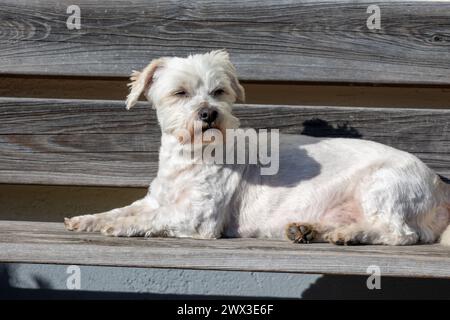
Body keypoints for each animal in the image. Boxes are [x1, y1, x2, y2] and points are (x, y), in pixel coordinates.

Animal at [65, 49, 450, 245]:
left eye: (219, 91)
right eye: (180, 93)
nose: (209, 113)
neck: (190, 157)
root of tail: (440, 189)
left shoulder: (198, 218)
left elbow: (150, 218)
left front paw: (118, 227)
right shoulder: (155, 199)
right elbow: (123, 210)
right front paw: (88, 220)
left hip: (383, 186)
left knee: (400, 234)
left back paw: (347, 235)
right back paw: (312, 230)